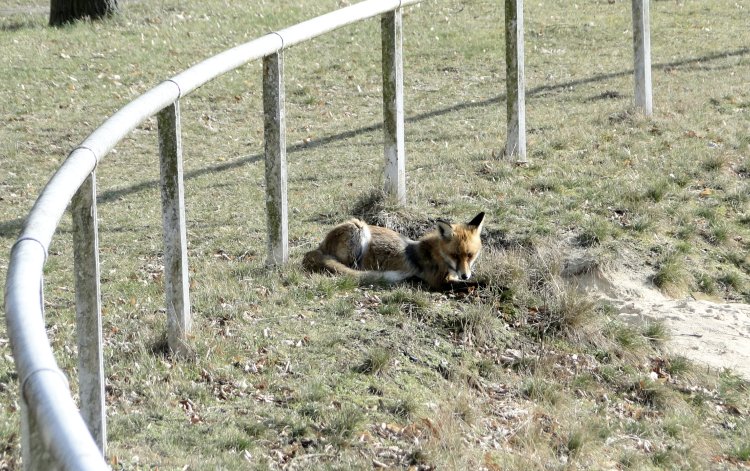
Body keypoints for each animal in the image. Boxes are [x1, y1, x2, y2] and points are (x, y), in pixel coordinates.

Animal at [304, 212, 488, 290]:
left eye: (470, 256)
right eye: (455, 255)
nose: (465, 275)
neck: (440, 256)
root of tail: (318, 247)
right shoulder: (438, 282)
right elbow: (478, 283)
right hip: (359, 229)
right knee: (350, 269)